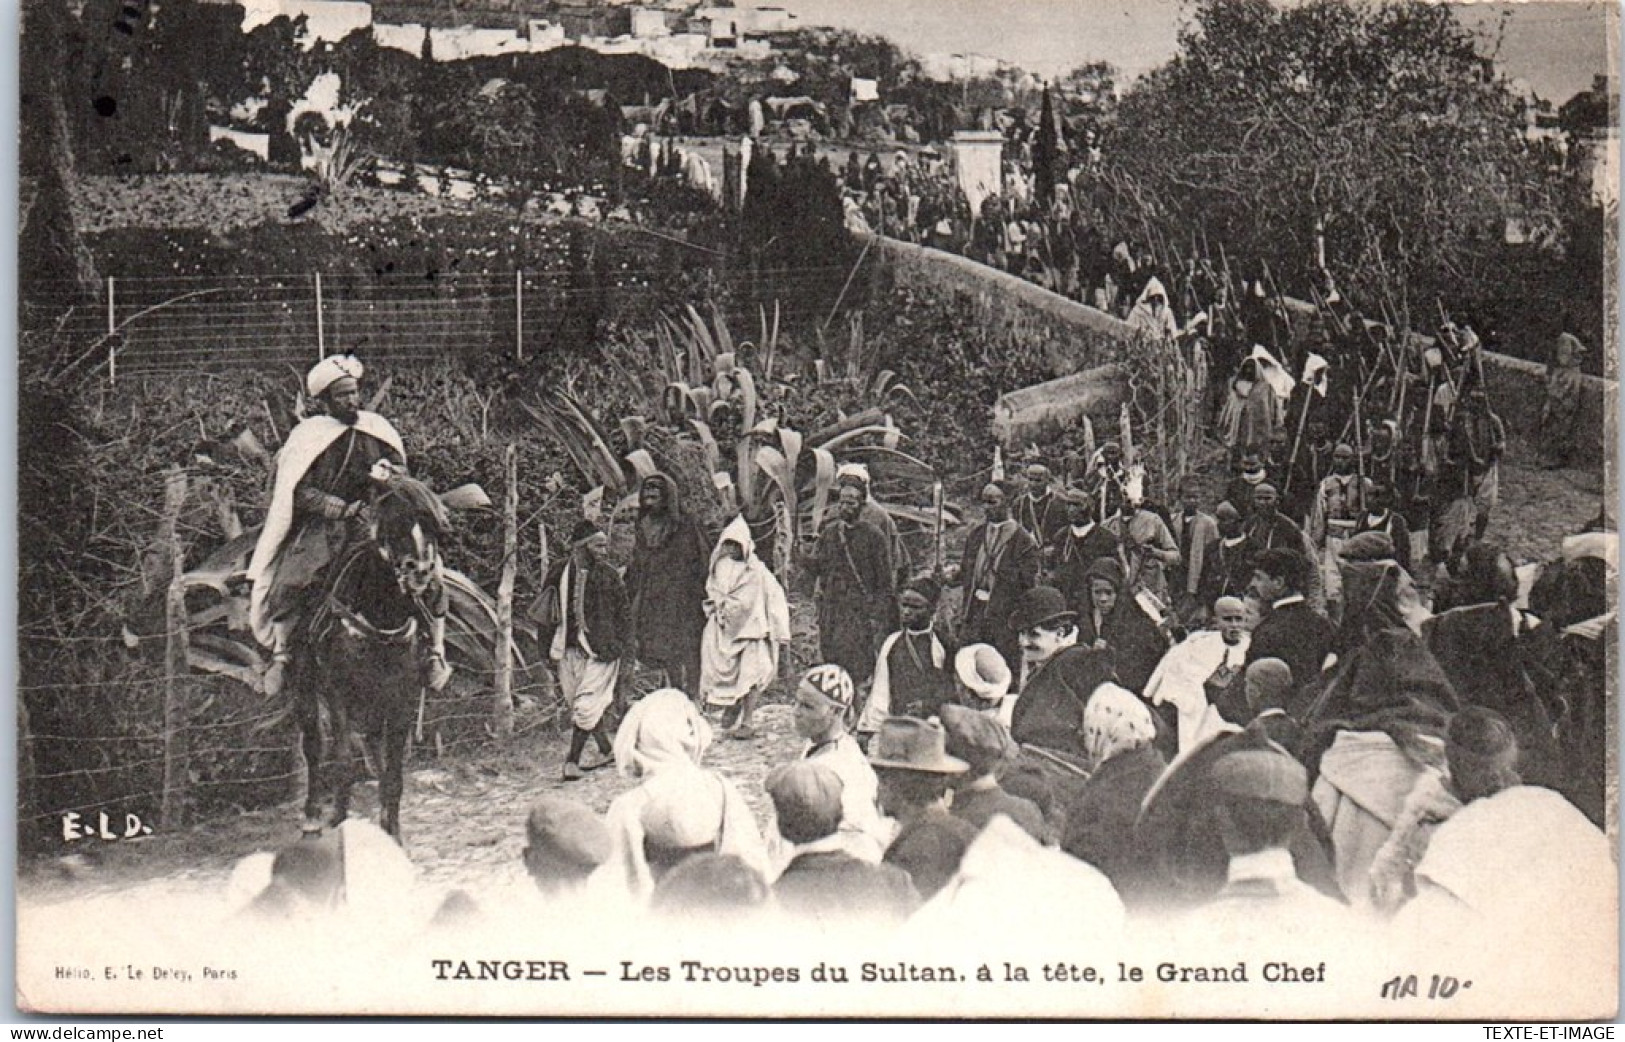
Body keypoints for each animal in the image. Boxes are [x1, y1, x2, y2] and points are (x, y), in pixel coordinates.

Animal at [292, 468, 451, 838]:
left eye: (432, 525)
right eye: (393, 523)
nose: (421, 573)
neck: (380, 619)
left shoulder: (401, 698)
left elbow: (393, 773)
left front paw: (392, 832)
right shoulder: (338, 695)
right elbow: (343, 764)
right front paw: (338, 822)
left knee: (375, 751)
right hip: (308, 690)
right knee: (314, 747)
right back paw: (312, 817)